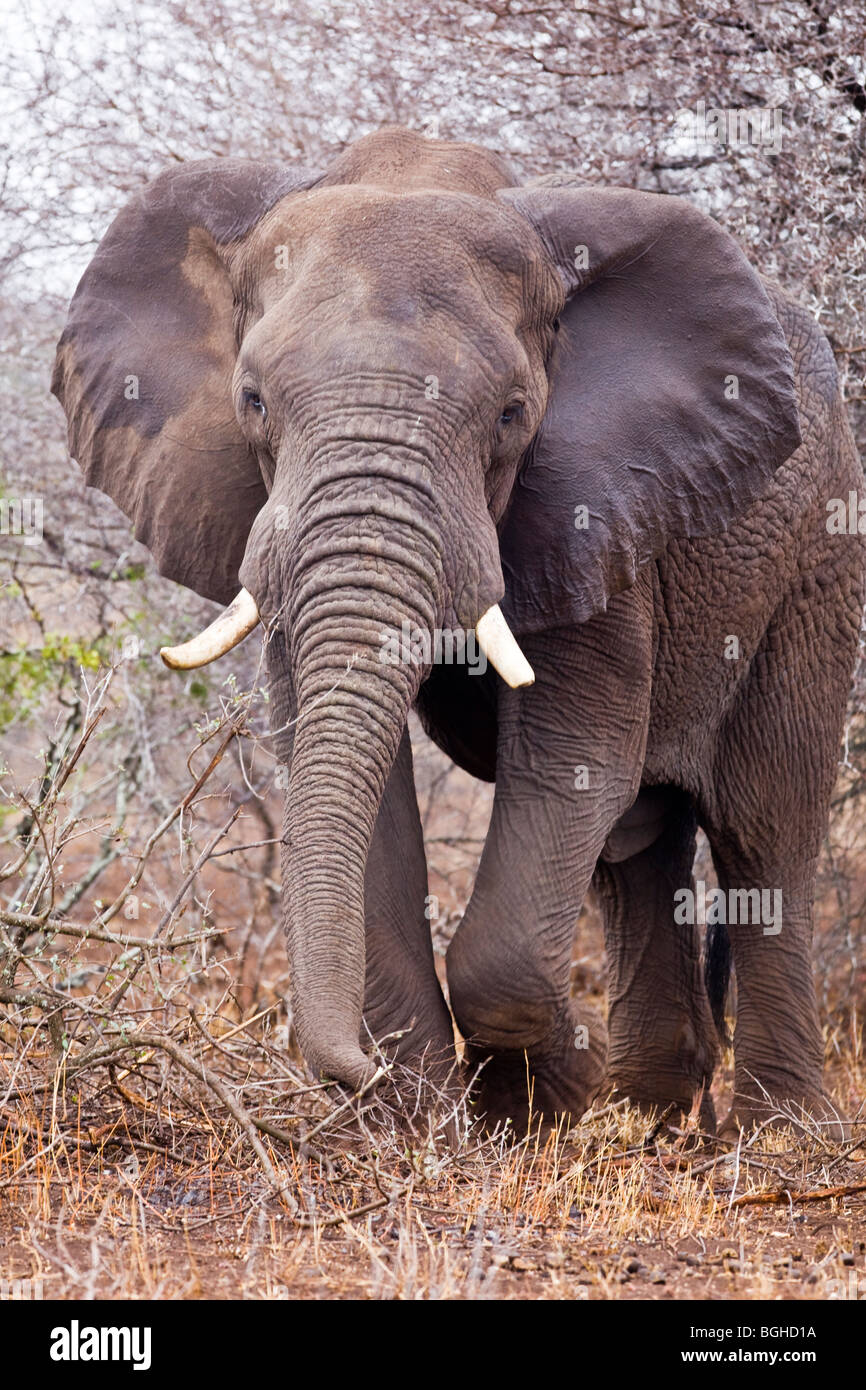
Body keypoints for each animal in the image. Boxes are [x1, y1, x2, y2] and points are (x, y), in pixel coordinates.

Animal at [54, 125, 866, 1134]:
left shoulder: (598, 504)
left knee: (764, 822)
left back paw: (777, 1132)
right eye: (252, 400)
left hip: (819, 554)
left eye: (513, 414)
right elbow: (352, 770)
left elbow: (572, 758)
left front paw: (543, 1095)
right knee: (640, 838)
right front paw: (421, 1118)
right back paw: (654, 1111)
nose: (349, 1074)